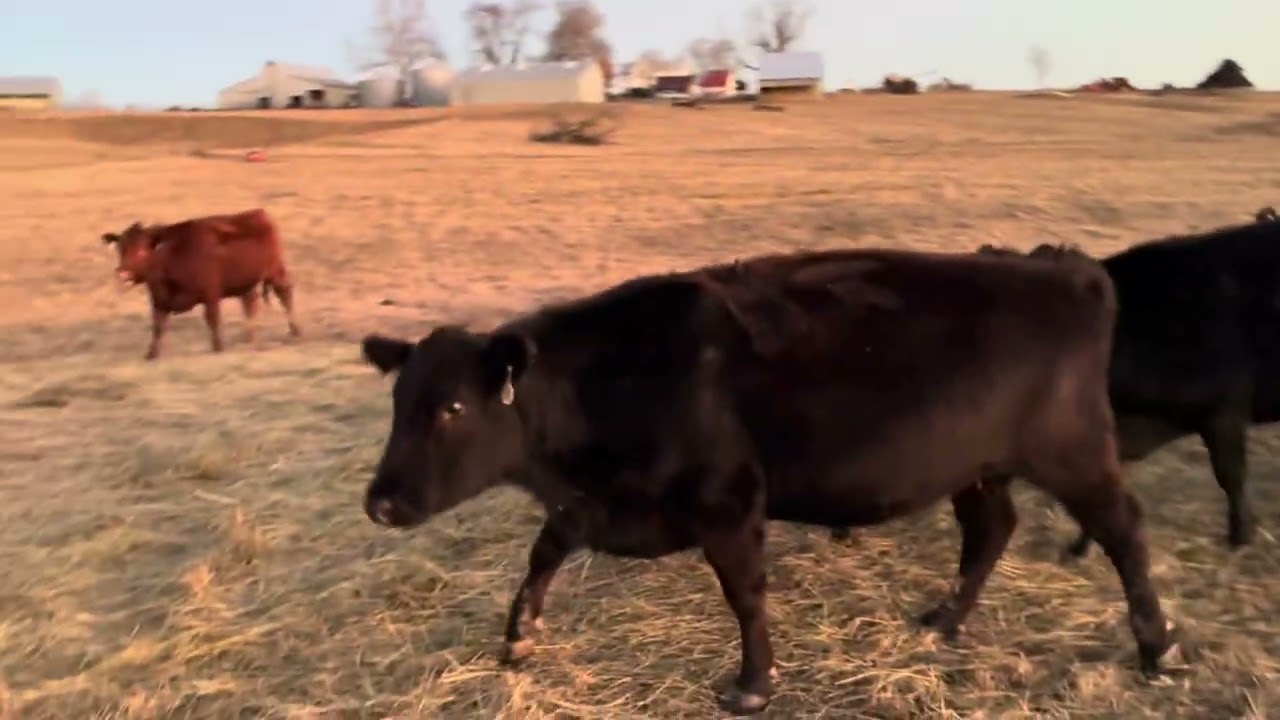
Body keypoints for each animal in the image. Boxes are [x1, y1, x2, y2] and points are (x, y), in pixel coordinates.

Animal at [101, 208, 300, 360]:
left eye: (142, 250)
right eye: (120, 249)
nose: (123, 274)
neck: (171, 254)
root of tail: (259, 213)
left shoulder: (210, 294)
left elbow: (212, 321)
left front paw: (218, 348)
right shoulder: (159, 302)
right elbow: (157, 327)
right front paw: (151, 355)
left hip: (275, 272)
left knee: (285, 295)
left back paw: (295, 331)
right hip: (247, 285)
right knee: (250, 307)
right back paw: (250, 339)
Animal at [356, 248, 1175, 714]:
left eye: (453, 407)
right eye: (398, 402)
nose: (381, 502)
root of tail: (1072, 270)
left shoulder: (728, 503)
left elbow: (745, 595)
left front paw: (753, 683)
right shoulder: (603, 506)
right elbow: (544, 550)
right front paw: (519, 637)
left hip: (1072, 454)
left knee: (1125, 532)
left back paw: (1155, 648)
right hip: (978, 467)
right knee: (991, 530)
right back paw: (946, 619)